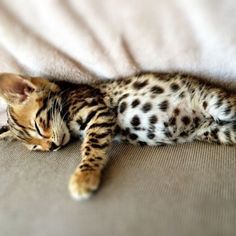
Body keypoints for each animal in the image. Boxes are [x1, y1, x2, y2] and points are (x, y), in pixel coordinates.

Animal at [0, 73, 236, 200]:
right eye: (35, 148)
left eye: (39, 126)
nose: (50, 147)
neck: (66, 96)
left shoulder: (99, 112)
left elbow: (91, 146)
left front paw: (84, 177)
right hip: (219, 132)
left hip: (218, 104)